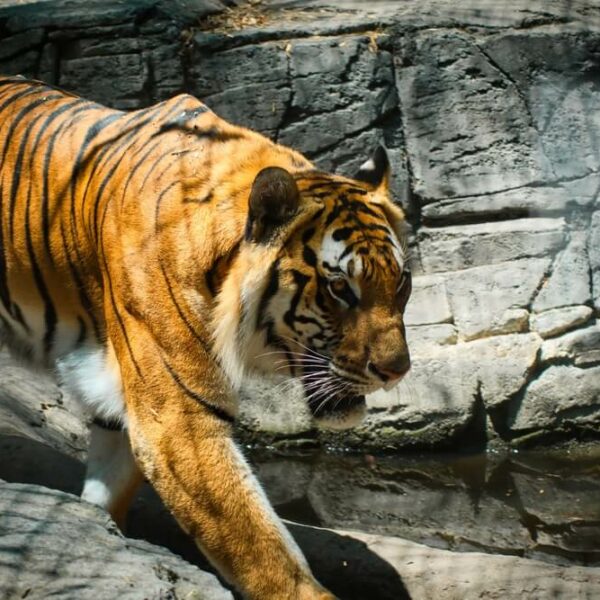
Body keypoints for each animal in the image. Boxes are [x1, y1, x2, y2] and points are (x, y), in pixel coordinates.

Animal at [0, 76, 412, 600]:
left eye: (401, 283)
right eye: (340, 288)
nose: (396, 371)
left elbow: (105, 488)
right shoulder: (180, 419)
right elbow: (261, 547)